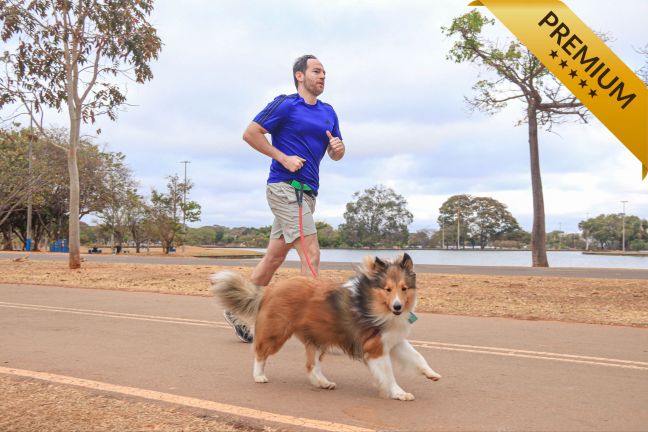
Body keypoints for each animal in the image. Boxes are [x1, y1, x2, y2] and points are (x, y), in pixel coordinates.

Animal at [210, 253, 442, 402]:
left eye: (404, 288)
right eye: (387, 289)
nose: (398, 307)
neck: (373, 303)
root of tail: (269, 290)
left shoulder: (393, 341)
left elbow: (417, 357)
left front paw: (431, 374)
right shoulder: (375, 346)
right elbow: (389, 374)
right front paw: (399, 393)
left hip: (317, 337)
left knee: (311, 366)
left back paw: (323, 382)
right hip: (276, 333)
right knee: (260, 353)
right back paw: (259, 376)